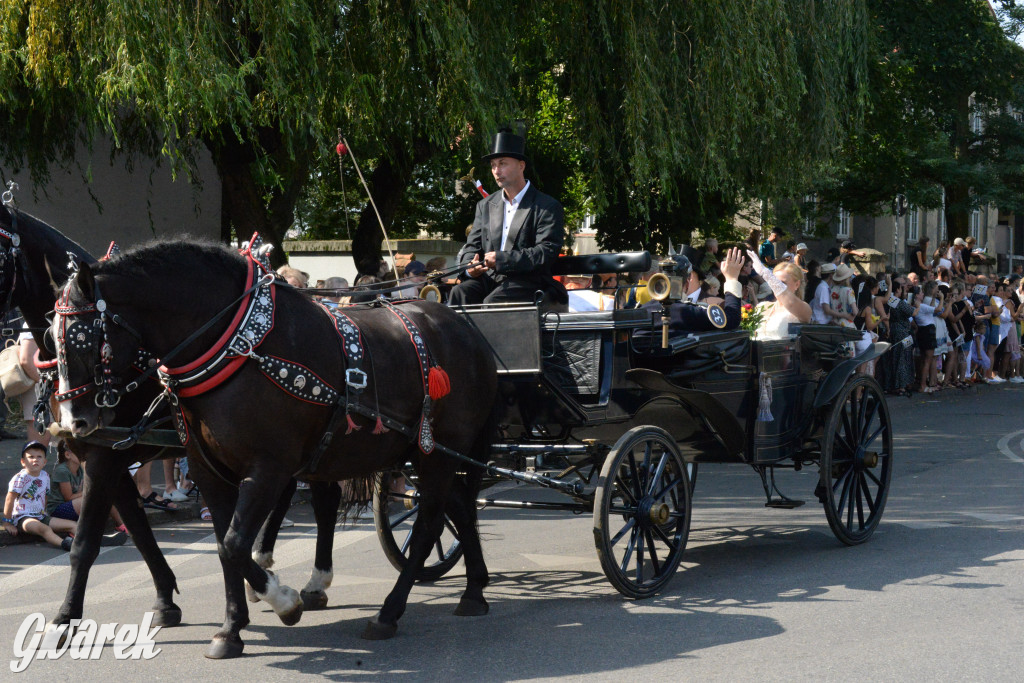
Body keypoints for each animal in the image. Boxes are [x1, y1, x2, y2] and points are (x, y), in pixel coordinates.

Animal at [51, 240, 499, 655]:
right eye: (49, 338)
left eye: (83, 340)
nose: (74, 422)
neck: (240, 347)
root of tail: (462, 327)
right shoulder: (206, 470)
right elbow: (223, 546)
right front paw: (232, 628)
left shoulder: (268, 467)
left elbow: (233, 545)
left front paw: (283, 602)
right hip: (424, 451)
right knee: (459, 506)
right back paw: (474, 590)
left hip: (438, 452)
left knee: (426, 527)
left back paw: (388, 613)